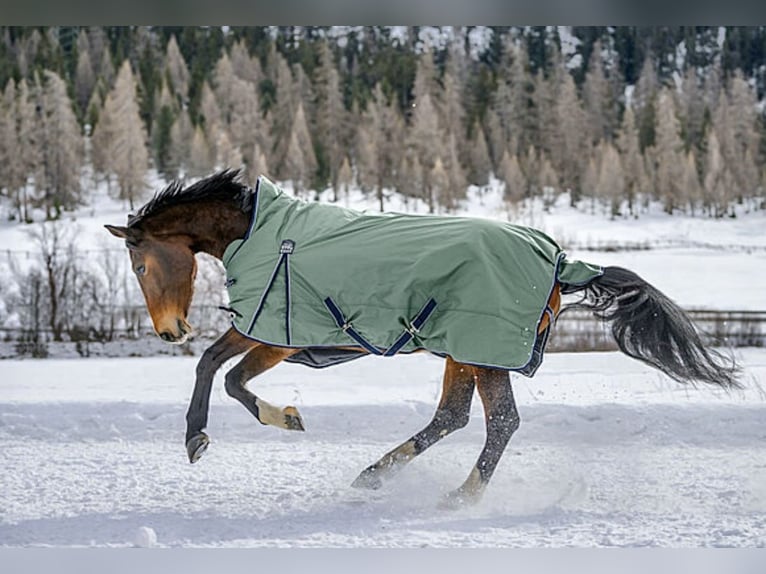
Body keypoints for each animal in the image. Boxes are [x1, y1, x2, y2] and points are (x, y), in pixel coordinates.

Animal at [105, 169, 740, 507]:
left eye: (138, 265)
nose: (169, 330)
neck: (263, 234)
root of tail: (560, 261)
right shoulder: (277, 334)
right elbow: (226, 374)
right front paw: (280, 417)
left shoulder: (275, 331)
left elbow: (219, 369)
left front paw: (212, 434)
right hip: (464, 352)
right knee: (454, 418)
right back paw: (376, 475)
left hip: (482, 353)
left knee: (499, 423)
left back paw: (460, 496)